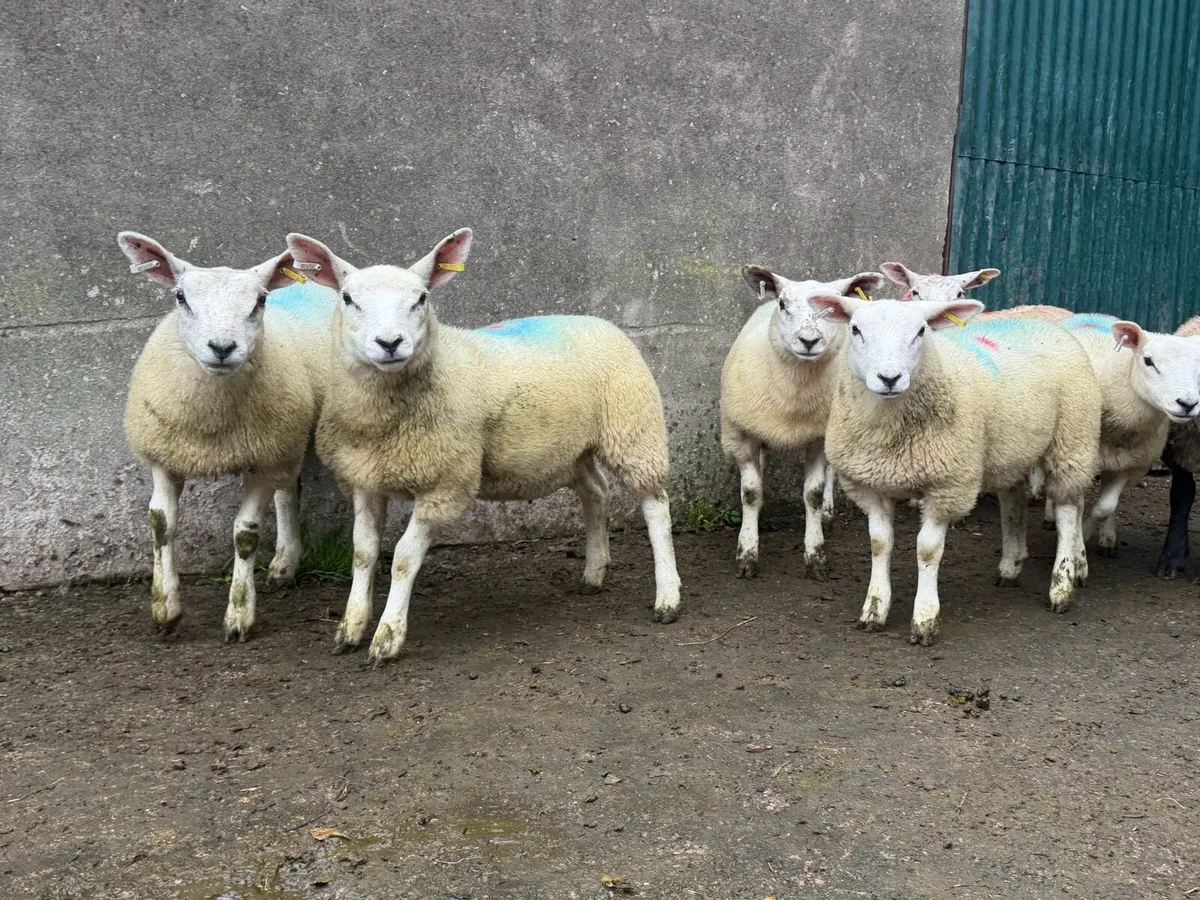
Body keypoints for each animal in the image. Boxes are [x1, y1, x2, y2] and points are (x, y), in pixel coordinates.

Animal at [117, 232, 335, 642]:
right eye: (180, 297)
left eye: (260, 300)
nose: (222, 348)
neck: (211, 428)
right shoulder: (165, 457)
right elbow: (161, 524)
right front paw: (165, 610)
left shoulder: (262, 461)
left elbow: (245, 535)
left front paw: (238, 616)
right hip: (284, 438)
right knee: (287, 489)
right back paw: (284, 565)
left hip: (283, 440)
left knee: (285, 490)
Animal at [284, 229, 682, 666]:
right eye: (347, 298)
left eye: (421, 297)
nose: (390, 343)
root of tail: (600, 321)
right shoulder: (365, 480)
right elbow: (363, 552)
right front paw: (350, 628)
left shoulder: (445, 484)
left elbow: (404, 557)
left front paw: (387, 637)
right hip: (571, 449)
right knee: (596, 491)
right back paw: (594, 573)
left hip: (633, 430)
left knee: (655, 506)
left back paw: (667, 597)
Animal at [720, 265, 885, 579]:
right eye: (783, 304)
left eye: (834, 308)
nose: (809, 341)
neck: (794, 394)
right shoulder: (741, 434)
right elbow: (750, 493)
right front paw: (747, 553)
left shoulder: (818, 437)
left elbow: (813, 494)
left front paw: (815, 555)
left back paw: (828, 516)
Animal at [808, 286, 1101, 645]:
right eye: (856, 330)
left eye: (921, 331)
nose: (889, 378)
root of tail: (1043, 322)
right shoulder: (871, 485)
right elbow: (880, 544)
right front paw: (874, 609)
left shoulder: (948, 485)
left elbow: (927, 550)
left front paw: (924, 619)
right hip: (1011, 448)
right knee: (1013, 502)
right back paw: (1011, 564)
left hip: (1073, 436)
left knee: (1067, 511)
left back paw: (1063, 583)